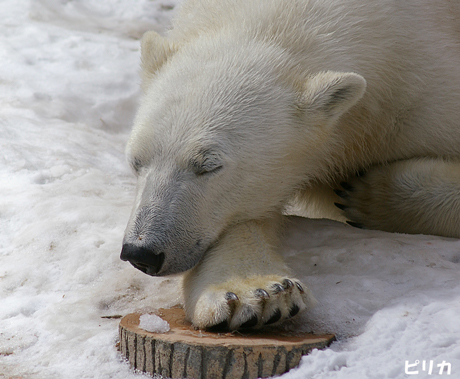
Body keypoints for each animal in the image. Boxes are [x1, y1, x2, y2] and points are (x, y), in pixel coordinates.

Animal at [119, 0, 460, 332]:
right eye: (137, 161)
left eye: (208, 165)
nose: (141, 252)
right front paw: (256, 294)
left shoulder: (422, 90)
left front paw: (368, 193)